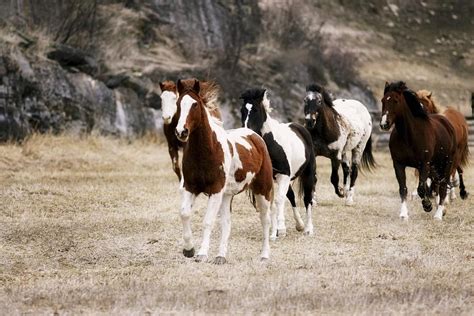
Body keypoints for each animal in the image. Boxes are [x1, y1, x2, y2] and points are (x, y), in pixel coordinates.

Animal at [174, 79, 272, 264]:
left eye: (195, 104)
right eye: (178, 104)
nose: (181, 131)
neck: (207, 151)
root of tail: (254, 135)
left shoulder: (215, 190)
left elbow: (207, 221)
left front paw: (202, 254)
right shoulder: (191, 187)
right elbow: (184, 213)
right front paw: (189, 249)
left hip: (263, 190)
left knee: (265, 220)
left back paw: (264, 255)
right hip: (227, 196)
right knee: (227, 223)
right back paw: (220, 256)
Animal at [241, 87, 314, 238]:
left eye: (255, 109)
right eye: (242, 110)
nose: (246, 131)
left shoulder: (284, 175)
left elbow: (279, 200)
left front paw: (281, 229)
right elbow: (271, 203)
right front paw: (273, 233)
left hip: (308, 174)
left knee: (307, 199)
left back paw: (308, 229)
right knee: (291, 196)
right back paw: (299, 225)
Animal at [380, 81, 458, 220]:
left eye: (395, 100)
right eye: (383, 100)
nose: (384, 124)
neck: (409, 136)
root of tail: (447, 124)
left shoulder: (424, 164)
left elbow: (422, 188)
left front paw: (427, 206)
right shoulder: (398, 164)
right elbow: (403, 188)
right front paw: (403, 214)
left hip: (446, 163)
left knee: (443, 185)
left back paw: (438, 214)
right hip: (434, 166)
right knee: (437, 184)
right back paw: (440, 209)